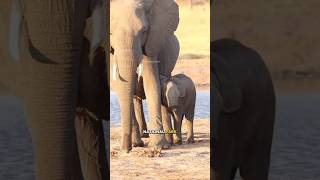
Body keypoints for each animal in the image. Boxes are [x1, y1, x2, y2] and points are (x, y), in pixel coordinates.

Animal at [110, 0, 180, 152]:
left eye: (143, 31)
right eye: (110, 33)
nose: (125, 149)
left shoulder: (152, 41)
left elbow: (151, 83)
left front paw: (160, 147)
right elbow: (121, 87)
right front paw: (137, 144)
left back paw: (168, 142)